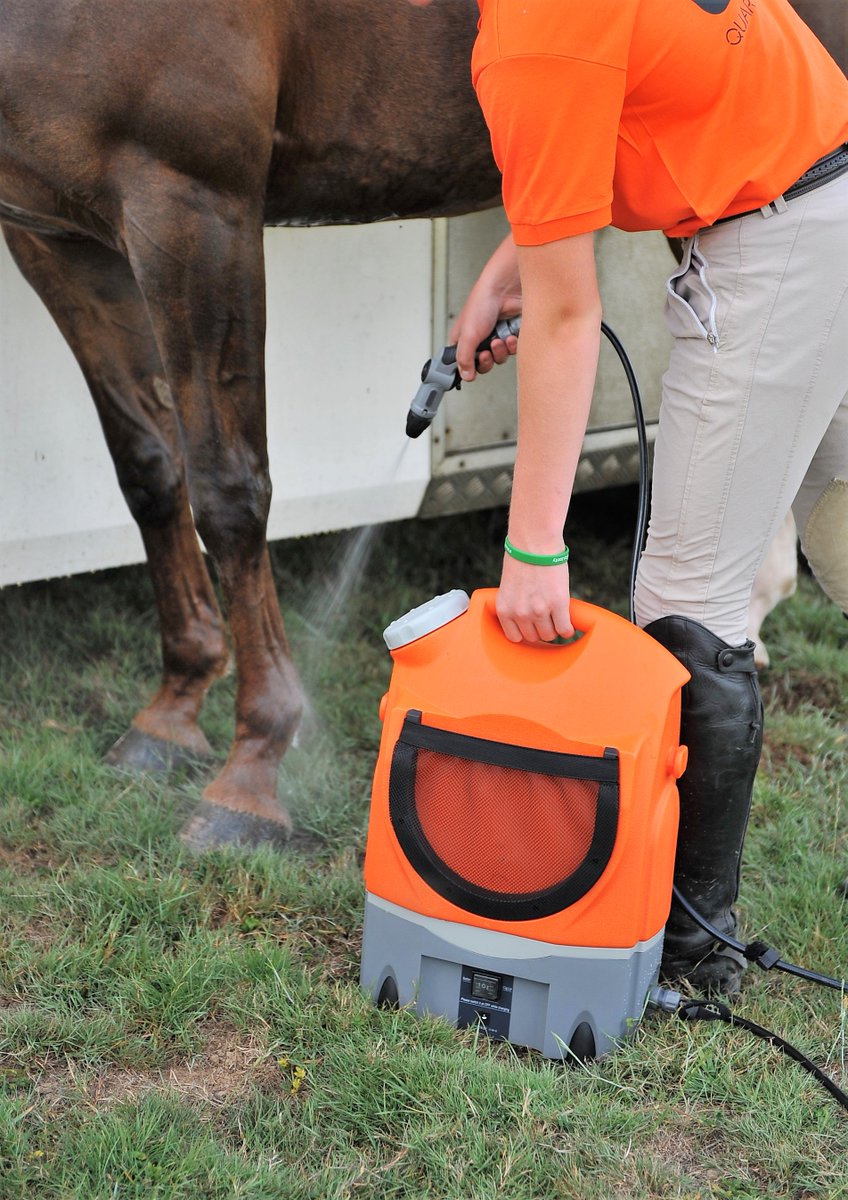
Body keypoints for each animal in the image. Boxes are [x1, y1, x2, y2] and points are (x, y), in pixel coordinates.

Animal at [1, 0, 842, 848]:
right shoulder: (56, 231)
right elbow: (147, 463)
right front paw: (173, 710)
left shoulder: (194, 201)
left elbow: (229, 491)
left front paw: (252, 772)